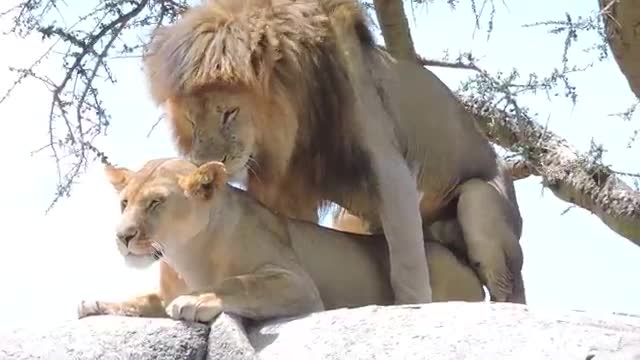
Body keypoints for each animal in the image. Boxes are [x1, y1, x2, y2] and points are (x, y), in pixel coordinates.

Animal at [77, 159, 482, 322]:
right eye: (124, 203)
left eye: (156, 203)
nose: (122, 236)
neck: (185, 254)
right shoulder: (160, 294)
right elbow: (139, 300)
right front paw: (97, 303)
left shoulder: (297, 283)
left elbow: (239, 283)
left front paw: (197, 300)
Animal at [141, 0, 524, 304]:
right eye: (191, 119)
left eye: (229, 112)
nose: (205, 161)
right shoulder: (283, 187)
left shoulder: (390, 167)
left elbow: (407, 260)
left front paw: (411, 306)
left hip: (480, 201)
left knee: (508, 287)